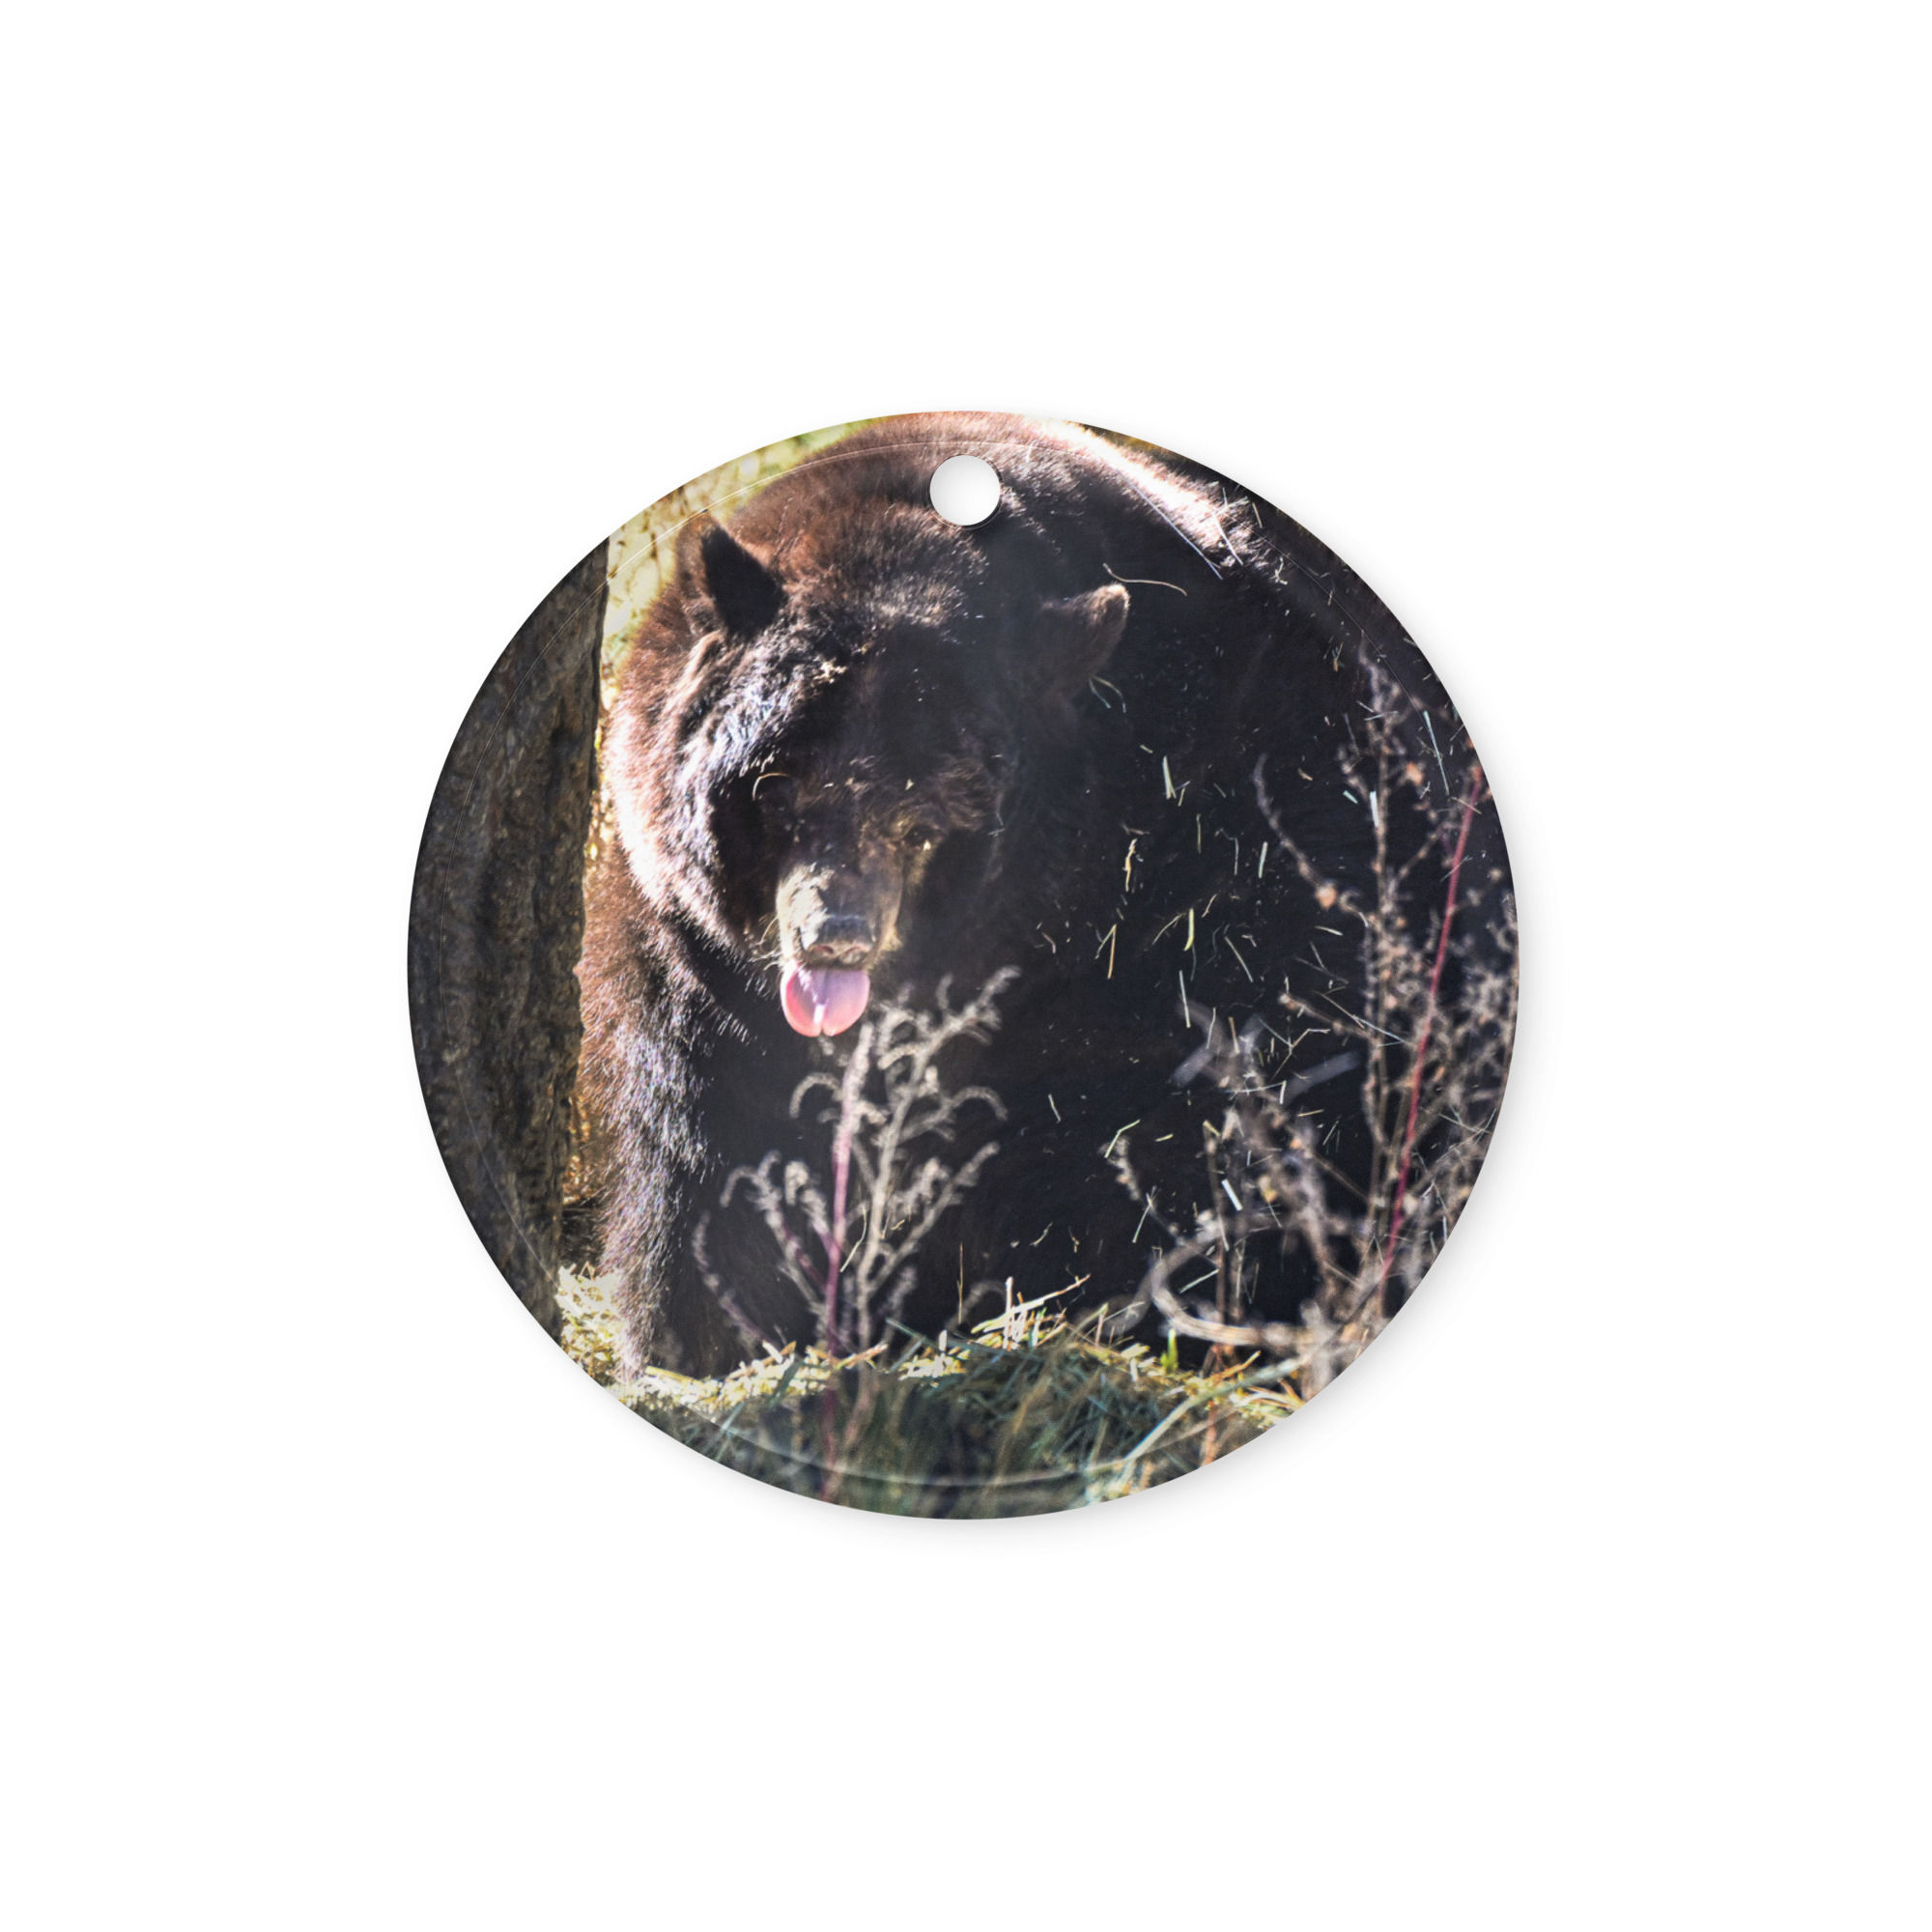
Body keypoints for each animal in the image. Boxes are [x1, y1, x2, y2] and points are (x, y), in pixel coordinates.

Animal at [579, 413, 1504, 1378]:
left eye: (930, 809)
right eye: (778, 780)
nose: (836, 934)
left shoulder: (1233, 839)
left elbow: (1217, 1096)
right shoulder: (688, 953)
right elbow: (707, 1150)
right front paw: (710, 1328)